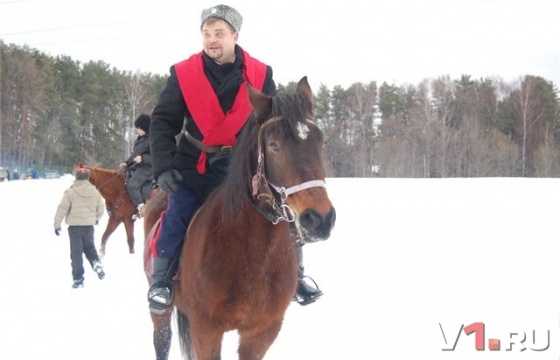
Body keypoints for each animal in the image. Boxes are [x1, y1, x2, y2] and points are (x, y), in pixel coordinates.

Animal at [144, 76, 336, 360]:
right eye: (274, 145)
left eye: (321, 142)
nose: (319, 219)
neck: (252, 254)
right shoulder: (206, 330)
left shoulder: (262, 332)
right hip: (161, 311)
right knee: (161, 340)